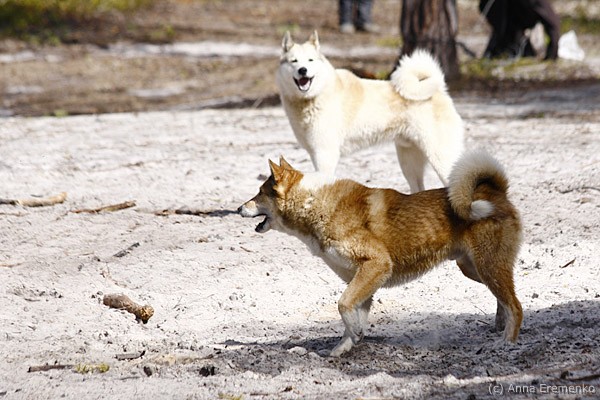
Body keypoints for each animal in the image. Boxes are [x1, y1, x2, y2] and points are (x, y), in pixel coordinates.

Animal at [239, 151, 523, 356]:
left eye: (259, 193)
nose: (239, 207)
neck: (316, 204)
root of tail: (496, 191)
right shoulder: (364, 278)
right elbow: (351, 315)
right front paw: (345, 347)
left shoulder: (376, 265)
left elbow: (343, 305)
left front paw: (352, 336)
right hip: (475, 270)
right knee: (503, 300)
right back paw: (498, 328)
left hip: (488, 267)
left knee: (515, 306)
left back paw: (506, 343)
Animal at [276, 31, 464, 193]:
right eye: (294, 61)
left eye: (310, 60)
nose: (303, 70)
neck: (315, 96)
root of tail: (438, 90)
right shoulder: (315, 153)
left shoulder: (325, 154)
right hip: (408, 160)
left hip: (440, 156)